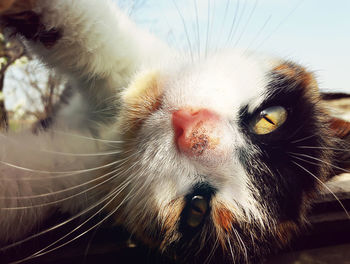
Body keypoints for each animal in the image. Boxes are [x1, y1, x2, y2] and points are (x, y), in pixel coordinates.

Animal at [0, 0, 348, 264]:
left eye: (196, 209)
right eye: (270, 119)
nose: (190, 128)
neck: (114, 127)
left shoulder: (63, 179)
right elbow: (95, 31)